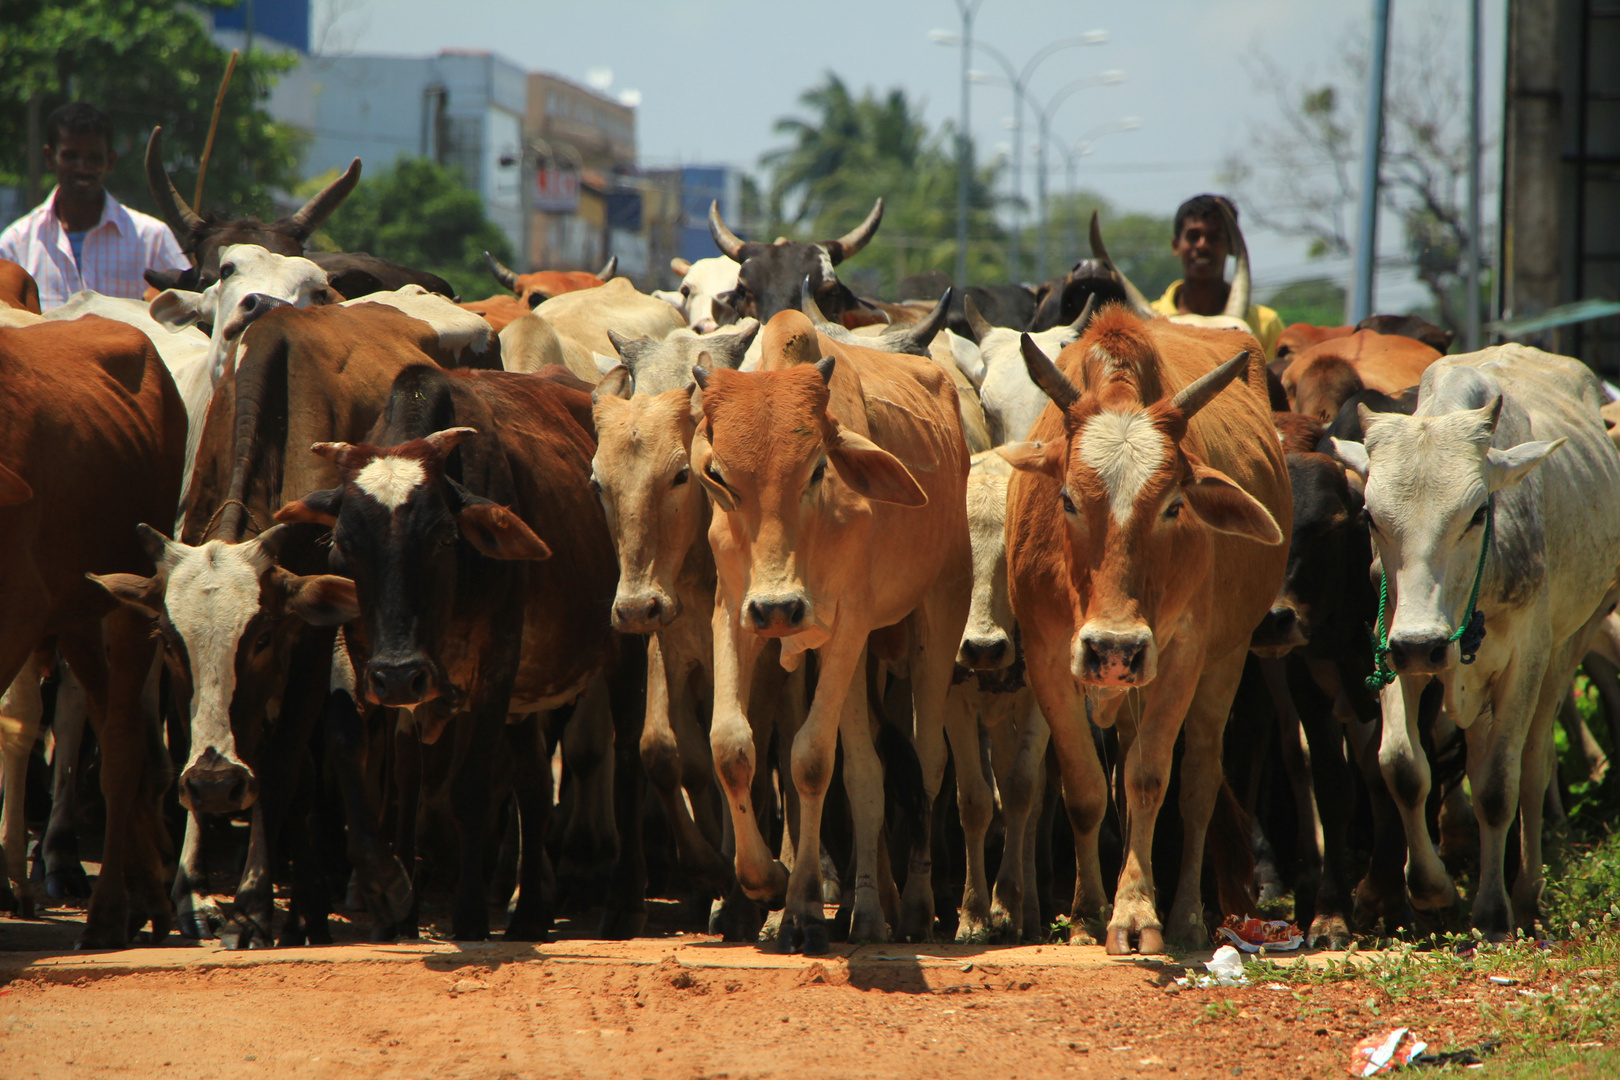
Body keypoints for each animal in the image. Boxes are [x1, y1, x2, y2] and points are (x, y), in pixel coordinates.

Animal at [0, 317, 185, 939]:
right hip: (79, 618)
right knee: (103, 721)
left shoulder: (21, 611)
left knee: (124, 742)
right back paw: (144, 890)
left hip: (132, 604)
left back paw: (111, 911)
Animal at [699, 307, 972, 952]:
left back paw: (912, 909)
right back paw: (867, 908)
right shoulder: (734, 609)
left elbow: (812, 761)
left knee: (925, 764)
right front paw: (766, 882)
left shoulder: (849, 620)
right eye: (719, 476)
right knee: (868, 768)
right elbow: (733, 748)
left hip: (940, 609)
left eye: (818, 468)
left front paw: (801, 911)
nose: (779, 607)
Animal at [997, 304, 1289, 952]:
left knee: (1198, 784)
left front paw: (1135, 914)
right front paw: (1086, 914)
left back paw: (1183, 916)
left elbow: (1151, 778)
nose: (1114, 648)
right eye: (1067, 498)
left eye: (1174, 505)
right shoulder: (1047, 655)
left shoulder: (1182, 652)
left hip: (1222, 660)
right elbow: (1084, 788)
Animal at [1328, 346, 1620, 939]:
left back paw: (1526, 891)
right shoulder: (1393, 644)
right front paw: (1432, 890)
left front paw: (1490, 911)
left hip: (1570, 643)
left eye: (1479, 512)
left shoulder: (1524, 659)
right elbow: (1402, 766)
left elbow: (1497, 787)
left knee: (1533, 765)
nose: (1423, 644)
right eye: (1369, 516)